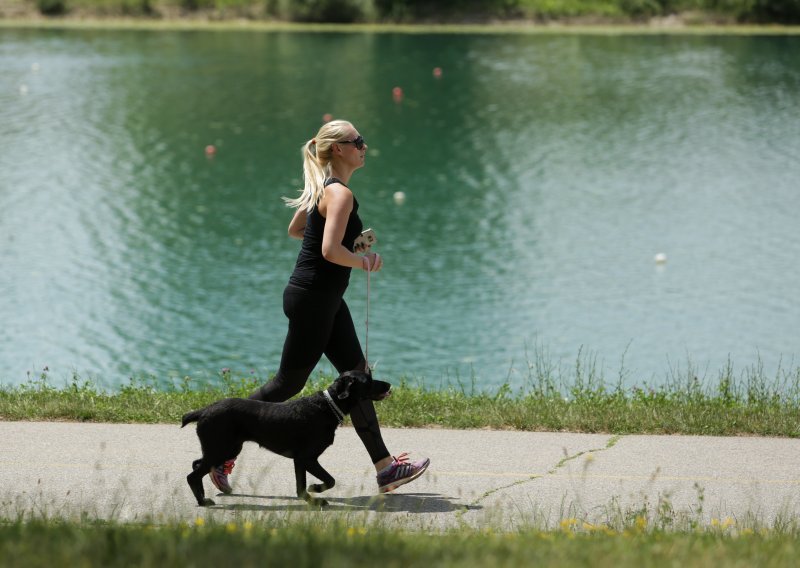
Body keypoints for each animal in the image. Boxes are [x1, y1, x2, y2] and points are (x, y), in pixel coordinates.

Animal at [182, 370, 394, 508]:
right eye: (369, 380)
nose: (389, 385)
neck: (327, 406)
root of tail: (204, 411)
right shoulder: (307, 458)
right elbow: (330, 480)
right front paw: (316, 490)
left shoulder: (299, 460)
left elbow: (301, 488)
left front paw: (313, 499)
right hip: (222, 448)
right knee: (192, 475)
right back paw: (202, 501)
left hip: (225, 448)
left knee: (196, 464)